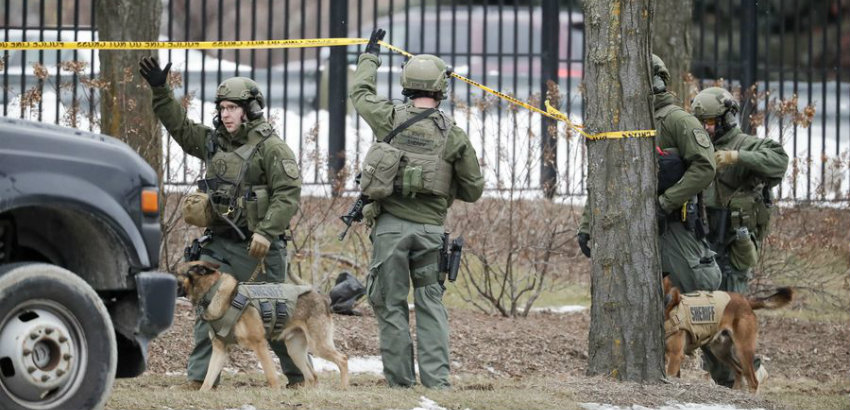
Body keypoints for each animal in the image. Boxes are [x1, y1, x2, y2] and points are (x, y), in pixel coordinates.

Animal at [176, 262, 348, 392]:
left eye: (175, 272)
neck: (214, 292)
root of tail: (318, 294)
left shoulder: (259, 344)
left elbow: (271, 376)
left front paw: (276, 394)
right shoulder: (220, 350)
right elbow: (208, 379)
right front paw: (201, 392)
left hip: (318, 345)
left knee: (342, 359)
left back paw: (343, 387)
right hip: (295, 351)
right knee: (312, 376)